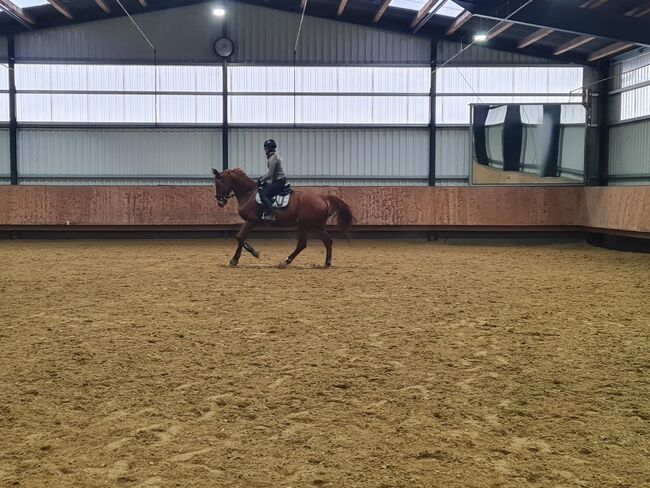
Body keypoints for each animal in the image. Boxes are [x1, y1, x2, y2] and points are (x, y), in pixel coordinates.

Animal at [211, 167, 354, 266]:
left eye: (219, 183)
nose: (220, 202)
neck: (248, 194)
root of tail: (322, 198)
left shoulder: (251, 221)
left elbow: (240, 237)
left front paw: (235, 259)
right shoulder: (250, 222)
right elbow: (241, 238)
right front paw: (252, 251)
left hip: (305, 225)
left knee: (302, 244)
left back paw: (285, 262)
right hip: (317, 226)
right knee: (327, 241)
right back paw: (327, 262)